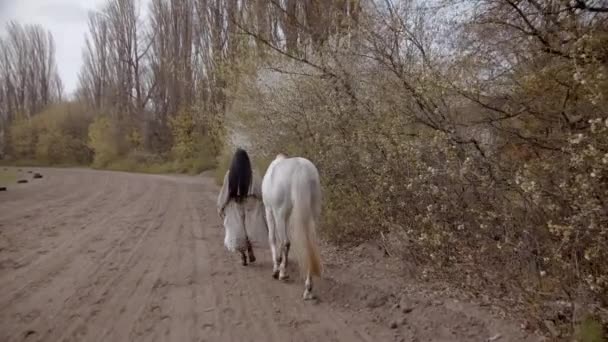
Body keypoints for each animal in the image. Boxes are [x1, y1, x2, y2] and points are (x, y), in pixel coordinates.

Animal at [262, 154, 324, 300]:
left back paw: (282, 274)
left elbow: (273, 239)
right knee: (308, 245)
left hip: (278, 214)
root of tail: (300, 169)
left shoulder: (269, 211)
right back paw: (308, 289)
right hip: (311, 215)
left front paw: (276, 269)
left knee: (285, 242)